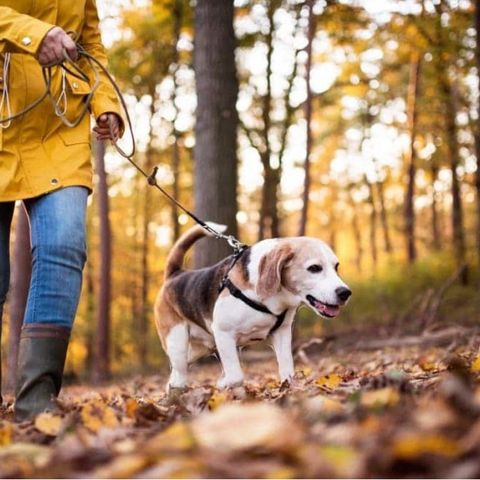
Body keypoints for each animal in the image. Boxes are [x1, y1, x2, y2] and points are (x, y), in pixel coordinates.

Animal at [155, 223, 352, 392]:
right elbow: (236, 376)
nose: (345, 293)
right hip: (177, 342)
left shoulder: (282, 333)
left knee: (176, 372)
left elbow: (287, 370)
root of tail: (175, 274)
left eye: (336, 267)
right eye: (314, 268)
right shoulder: (224, 333)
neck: (275, 299)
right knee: (180, 371)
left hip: (199, 349)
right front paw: (222, 383)